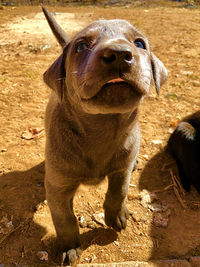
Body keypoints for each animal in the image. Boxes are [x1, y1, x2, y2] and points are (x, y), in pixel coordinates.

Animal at [43, 6, 168, 264]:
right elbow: (64, 219)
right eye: (81, 46)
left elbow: (118, 192)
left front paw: (116, 216)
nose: (119, 53)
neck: (101, 129)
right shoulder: (57, 186)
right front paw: (69, 246)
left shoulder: (122, 167)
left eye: (139, 43)